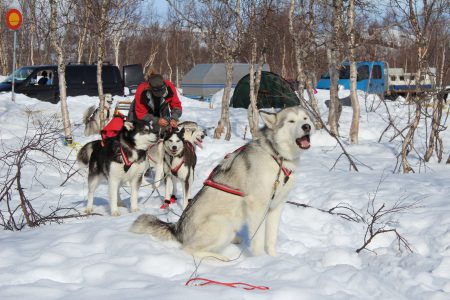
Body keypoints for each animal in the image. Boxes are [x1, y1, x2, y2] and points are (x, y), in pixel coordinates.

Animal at [130, 106, 312, 258]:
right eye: (291, 121)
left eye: (305, 118)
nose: (307, 127)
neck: (277, 156)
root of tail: (177, 229)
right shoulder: (257, 207)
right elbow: (258, 241)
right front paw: (260, 262)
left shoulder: (276, 206)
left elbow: (271, 239)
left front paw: (273, 258)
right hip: (223, 224)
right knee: (190, 250)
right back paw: (222, 259)